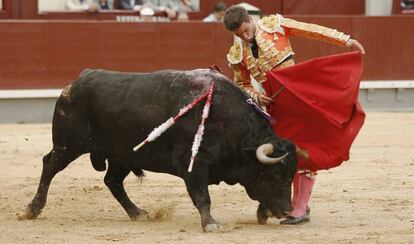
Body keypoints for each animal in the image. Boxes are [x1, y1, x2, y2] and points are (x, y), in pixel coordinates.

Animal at [25, 68, 298, 231]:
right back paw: (32, 208)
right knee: (49, 165)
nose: (288, 210)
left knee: (112, 181)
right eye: (275, 174)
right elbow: (203, 197)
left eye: (290, 176)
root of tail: (74, 83)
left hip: (122, 155)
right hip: (68, 145)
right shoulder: (194, 165)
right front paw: (210, 224)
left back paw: (137, 213)